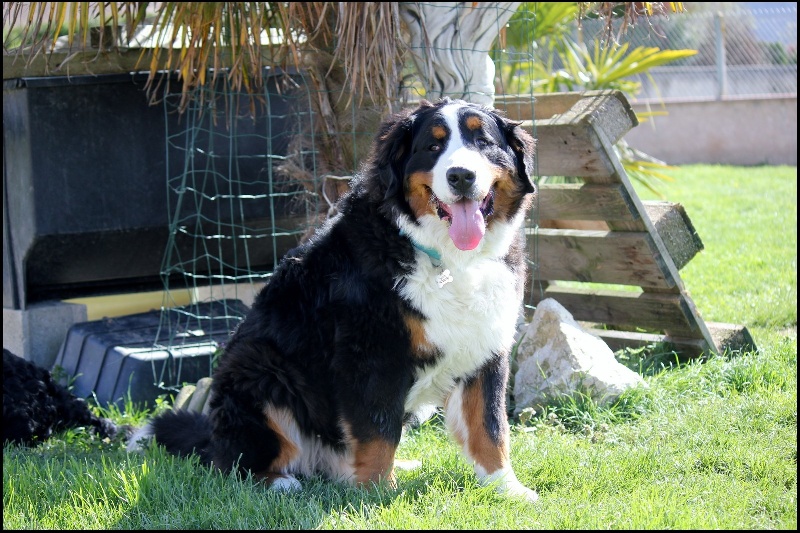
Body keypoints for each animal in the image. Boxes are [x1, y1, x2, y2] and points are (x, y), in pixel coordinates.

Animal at [128, 97, 538, 501]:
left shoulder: (485, 350)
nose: (461, 176)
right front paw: (377, 495)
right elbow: (377, 432)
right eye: (433, 146)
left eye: (482, 141)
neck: (452, 260)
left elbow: (490, 427)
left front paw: (508, 489)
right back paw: (279, 481)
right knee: (232, 464)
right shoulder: (371, 355)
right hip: (261, 371)